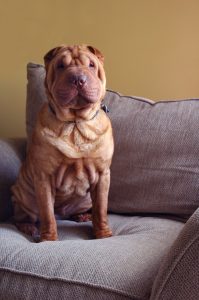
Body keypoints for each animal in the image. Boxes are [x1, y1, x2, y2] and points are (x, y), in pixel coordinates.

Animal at [12, 44, 113, 241]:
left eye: (91, 65)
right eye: (60, 66)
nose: (78, 79)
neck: (75, 122)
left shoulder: (102, 175)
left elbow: (101, 209)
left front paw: (103, 234)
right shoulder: (44, 177)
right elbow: (47, 214)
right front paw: (48, 239)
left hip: (85, 199)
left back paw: (83, 216)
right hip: (24, 196)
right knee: (23, 216)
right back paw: (28, 227)